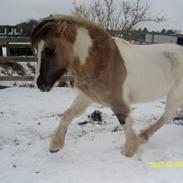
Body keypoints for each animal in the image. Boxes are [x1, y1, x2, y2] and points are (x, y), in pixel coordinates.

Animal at [30, 15, 183, 157]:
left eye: (50, 49)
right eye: (37, 49)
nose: (40, 84)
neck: (103, 63)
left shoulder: (118, 100)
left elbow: (123, 119)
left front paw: (129, 150)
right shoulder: (86, 96)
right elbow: (67, 115)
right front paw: (55, 146)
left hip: (175, 95)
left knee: (168, 115)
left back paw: (143, 137)